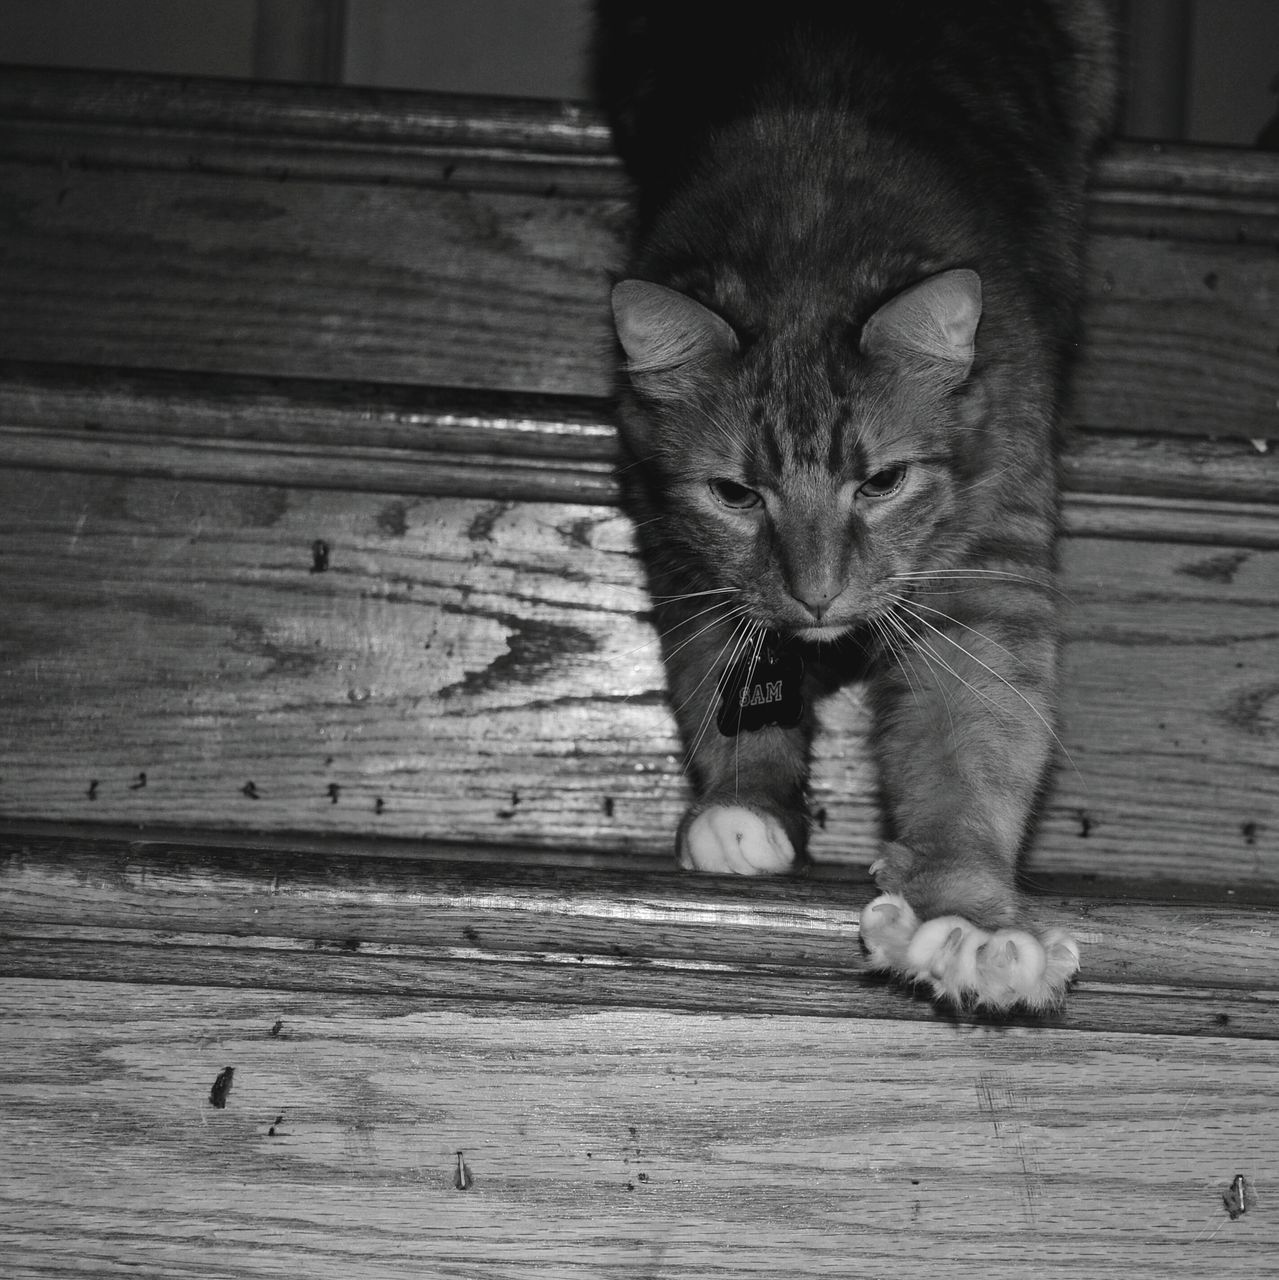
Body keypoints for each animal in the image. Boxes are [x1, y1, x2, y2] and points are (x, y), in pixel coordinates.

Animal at [594, 5, 1116, 1013]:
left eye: (879, 483)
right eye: (735, 493)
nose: (817, 595)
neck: (811, 222)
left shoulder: (981, 580)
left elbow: (969, 751)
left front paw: (969, 924)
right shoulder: (682, 557)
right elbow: (716, 684)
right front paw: (743, 807)